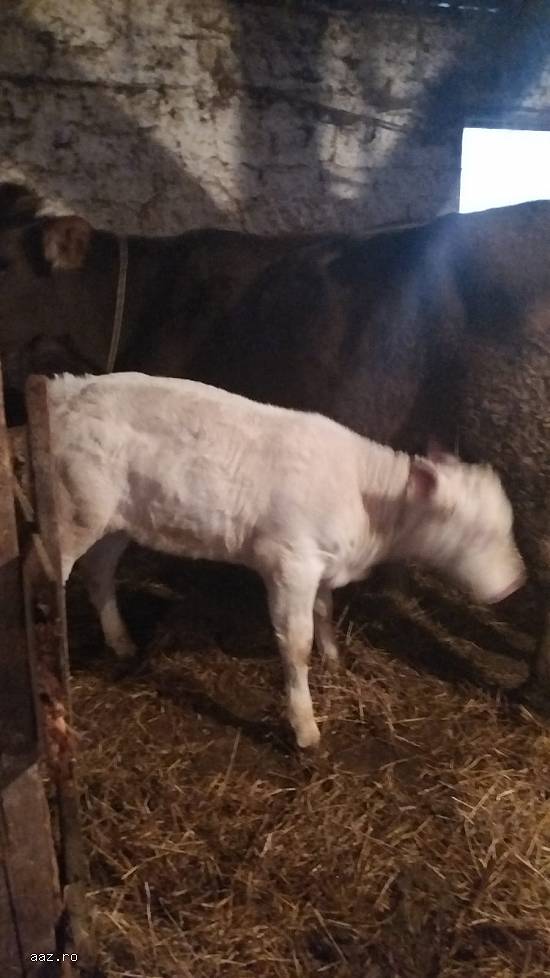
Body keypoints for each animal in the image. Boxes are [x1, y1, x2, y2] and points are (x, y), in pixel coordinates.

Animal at [48, 372, 525, 748]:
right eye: (481, 532)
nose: (516, 583)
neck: (368, 506)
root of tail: (69, 388)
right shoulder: (289, 562)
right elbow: (296, 644)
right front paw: (305, 728)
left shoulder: (323, 565)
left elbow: (326, 611)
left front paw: (334, 660)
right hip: (74, 514)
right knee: (54, 572)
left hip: (116, 522)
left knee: (99, 573)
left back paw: (121, 642)